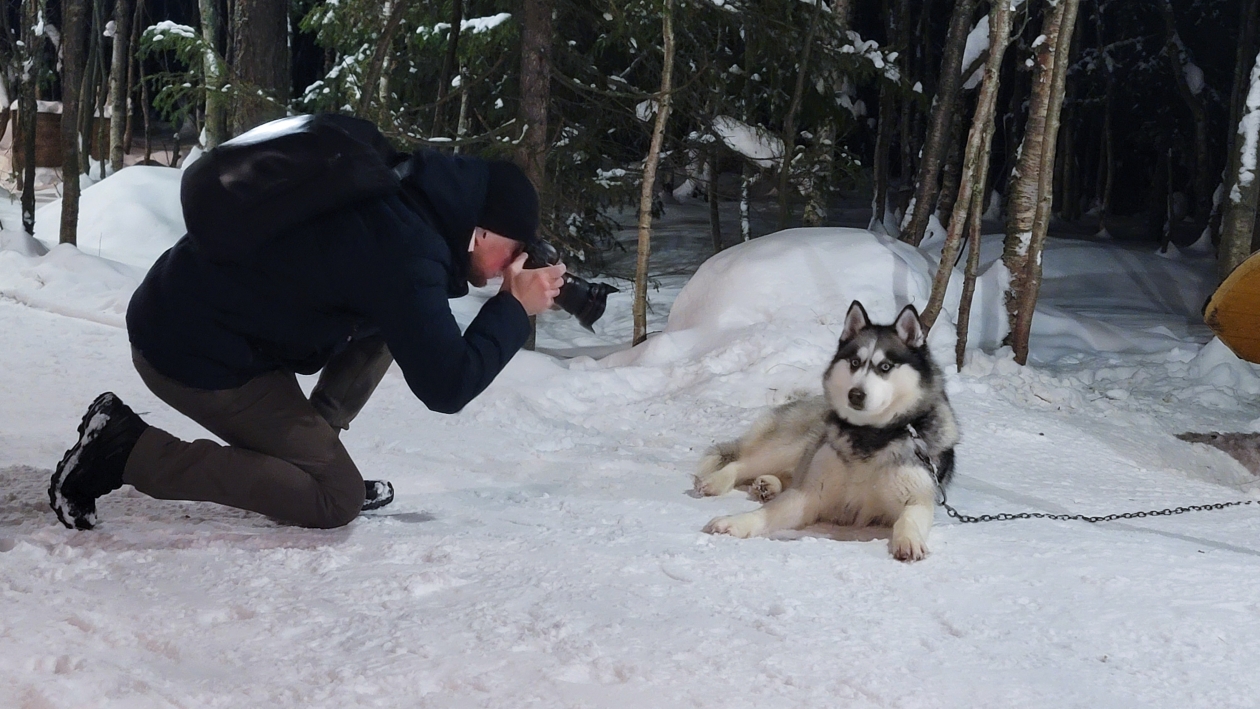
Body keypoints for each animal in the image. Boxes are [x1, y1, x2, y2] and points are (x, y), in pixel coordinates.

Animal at [695, 302, 957, 564]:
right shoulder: (811, 494)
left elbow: (909, 517)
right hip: (793, 446)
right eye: (854, 362)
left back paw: (768, 484)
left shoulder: (918, 497)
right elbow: (767, 512)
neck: (870, 435)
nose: (855, 394)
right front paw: (735, 522)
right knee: (743, 463)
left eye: (885, 367)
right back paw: (718, 481)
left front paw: (909, 540)